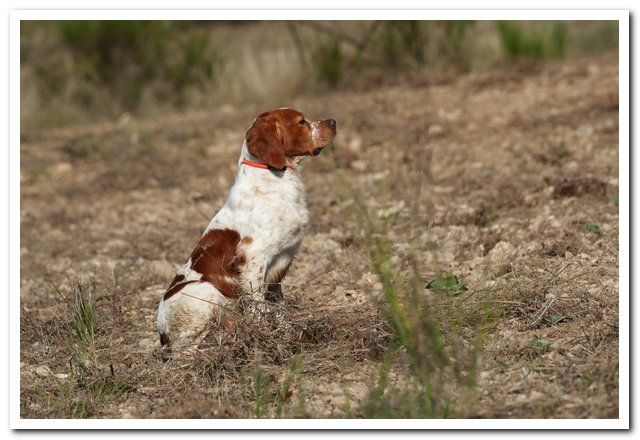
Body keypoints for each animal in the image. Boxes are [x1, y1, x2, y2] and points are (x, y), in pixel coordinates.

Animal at [156, 107, 336, 350]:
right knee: (185, 349)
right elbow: (258, 307)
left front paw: (286, 332)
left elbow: (277, 304)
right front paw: (266, 338)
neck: (275, 177)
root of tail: (162, 333)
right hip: (205, 291)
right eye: (301, 122)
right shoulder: (253, 260)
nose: (334, 122)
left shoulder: (279, 264)